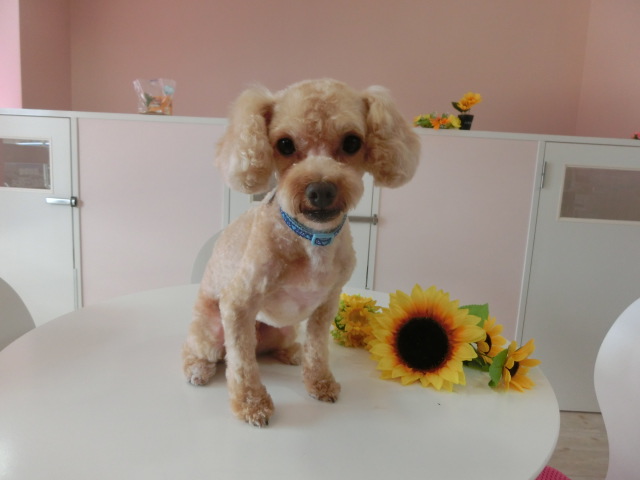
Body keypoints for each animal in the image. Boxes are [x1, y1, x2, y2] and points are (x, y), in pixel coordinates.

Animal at [182, 79, 420, 426]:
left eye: (352, 142)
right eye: (284, 144)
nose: (320, 190)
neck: (311, 239)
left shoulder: (327, 303)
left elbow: (317, 349)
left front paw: (320, 382)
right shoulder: (238, 306)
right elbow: (242, 365)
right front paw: (252, 404)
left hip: (281, 330)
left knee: (270, 348)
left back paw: (291, 353)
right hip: (211, 330)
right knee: (203, 351)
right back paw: (197, 368)